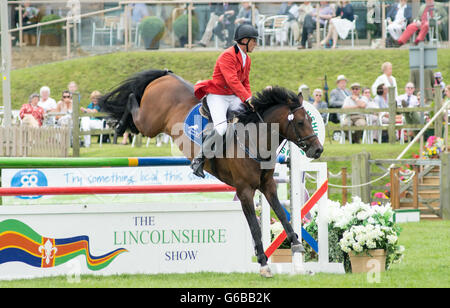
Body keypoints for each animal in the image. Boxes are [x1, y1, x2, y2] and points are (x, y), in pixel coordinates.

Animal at [99, 69, 324, 276]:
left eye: (310, 119)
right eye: (300, 122)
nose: (318, 150)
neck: (254, 138)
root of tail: (166, 76)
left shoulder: (268, 185)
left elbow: (282, 214)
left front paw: (296, 245)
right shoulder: (244, 191)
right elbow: (254, 226)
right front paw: (263, 263)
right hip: (150, 124)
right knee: (132, 102)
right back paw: (118, 126)